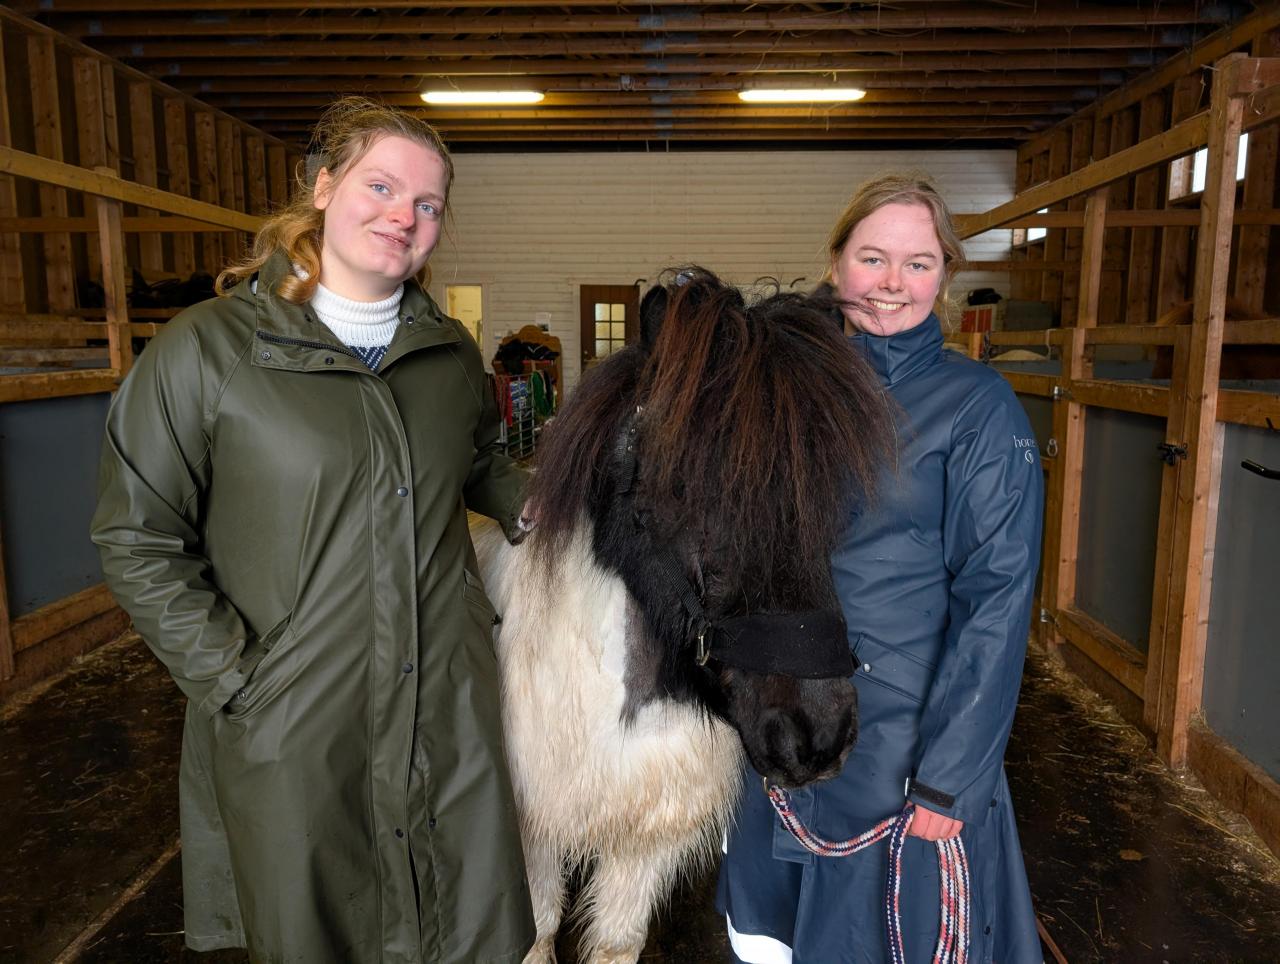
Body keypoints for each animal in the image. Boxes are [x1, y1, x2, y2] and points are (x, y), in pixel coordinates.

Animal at [472, 268, 894, 964]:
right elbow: (538, 934)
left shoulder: (644, 844)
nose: (816, 736)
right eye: (683, 485)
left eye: (826, 494)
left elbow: (616, 943)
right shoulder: (533, 838)